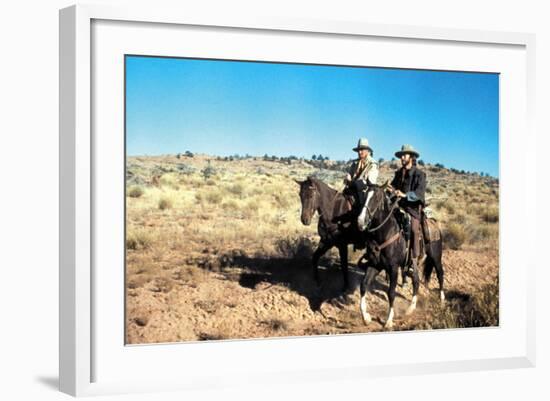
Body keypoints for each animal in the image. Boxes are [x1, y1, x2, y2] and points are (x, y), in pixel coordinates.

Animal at [360, 183, 446, 326]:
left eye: (376, 198)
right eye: (364, 195)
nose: (360, 221)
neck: (385, 233)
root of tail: (434, 223)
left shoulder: (393, 268)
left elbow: (391, 292)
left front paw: (388, 320)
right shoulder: (375, 265)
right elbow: (364, 285)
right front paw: (365, 317)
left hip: (436, 257)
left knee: (440, 274)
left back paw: (442, 299)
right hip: (414, 264)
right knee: (416, 281)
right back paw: (411, 308)